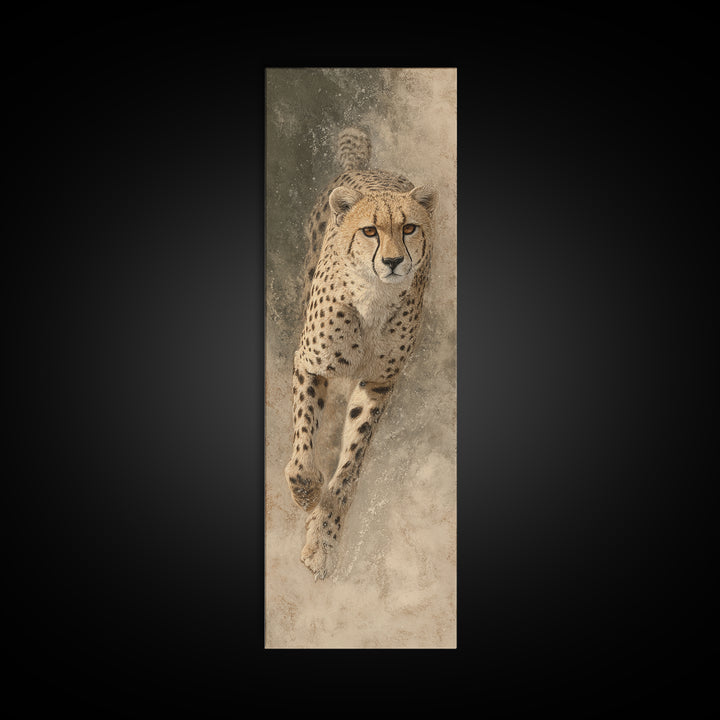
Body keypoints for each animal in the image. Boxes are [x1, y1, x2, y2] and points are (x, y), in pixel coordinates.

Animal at [284, 127, 438, 580]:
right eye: (370, 231)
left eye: (409, 227)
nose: (392, 261)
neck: (373, 297)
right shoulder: (310, 363)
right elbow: (305, 434)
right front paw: (305, 489)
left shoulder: (379, 382)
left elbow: (351, 462)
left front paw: (323, 539)